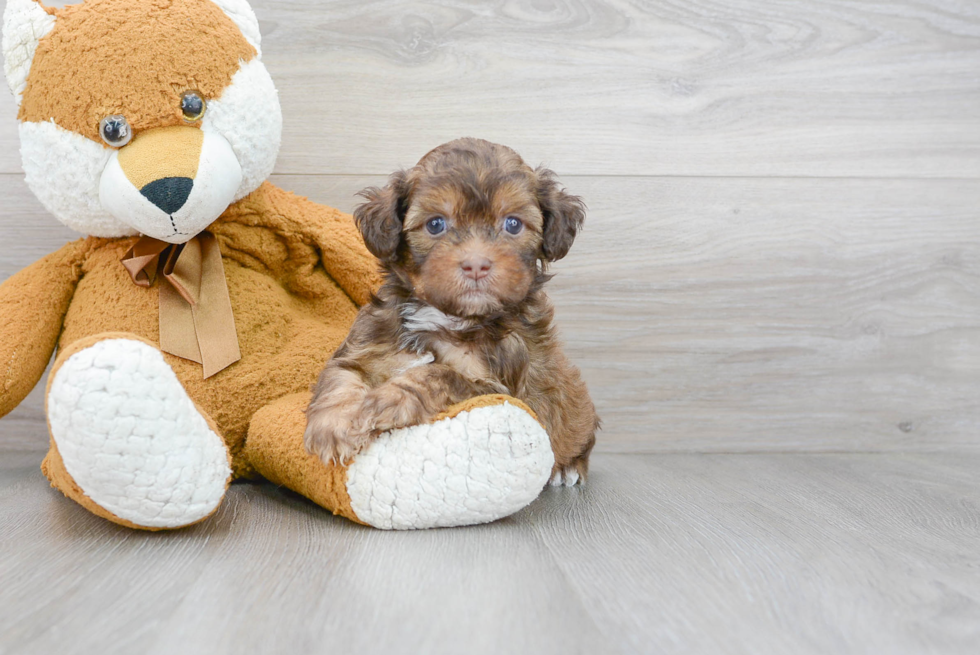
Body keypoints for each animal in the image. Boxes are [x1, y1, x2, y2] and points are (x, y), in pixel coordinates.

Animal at [306, 138, 596, 484]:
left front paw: (389, 399)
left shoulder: (495, 389)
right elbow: (340, 377)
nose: (476, 264)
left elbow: (438, 375)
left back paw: (569, 467)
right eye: (435, 224)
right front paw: (333, 427)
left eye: (513, 224)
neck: (448, 316)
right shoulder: (365, 347)